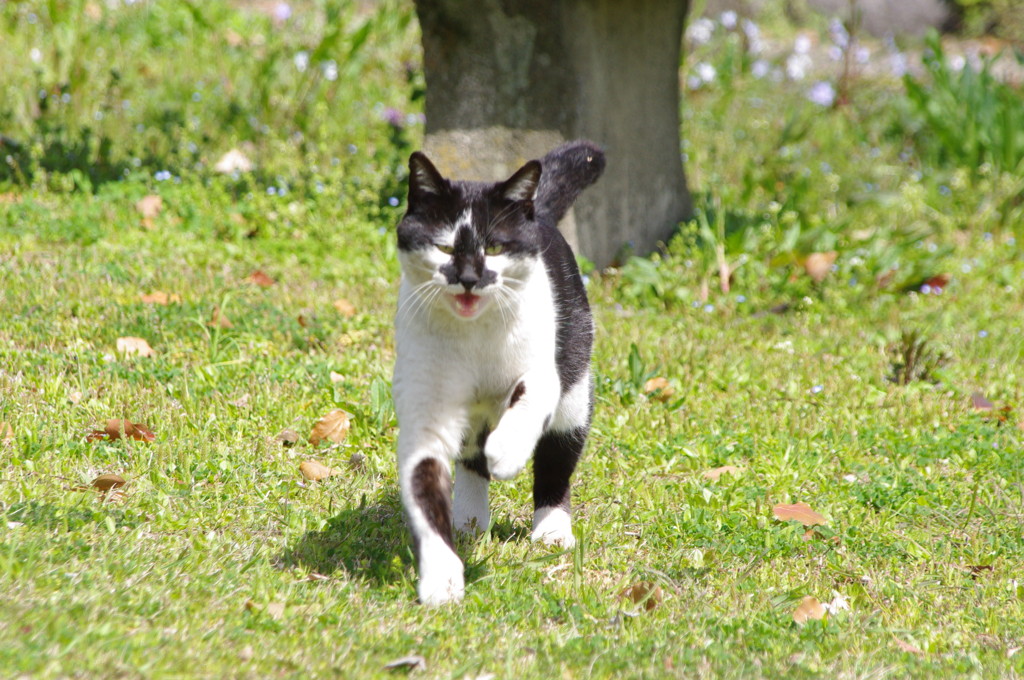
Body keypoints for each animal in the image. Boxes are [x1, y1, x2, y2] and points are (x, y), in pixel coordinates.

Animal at [389, 139, 598, 606]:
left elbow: (529, 398)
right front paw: (442, 579)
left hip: (573, 393)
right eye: (445, 248)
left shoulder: (541, 371)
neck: (474, 338)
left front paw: (507, 451)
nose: (469, 277)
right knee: (470, 459)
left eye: (497, 248)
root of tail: (538, 212)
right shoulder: (426, 415)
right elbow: (425, 491)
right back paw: (470, 519)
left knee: (557, 460)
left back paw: (551, 528)